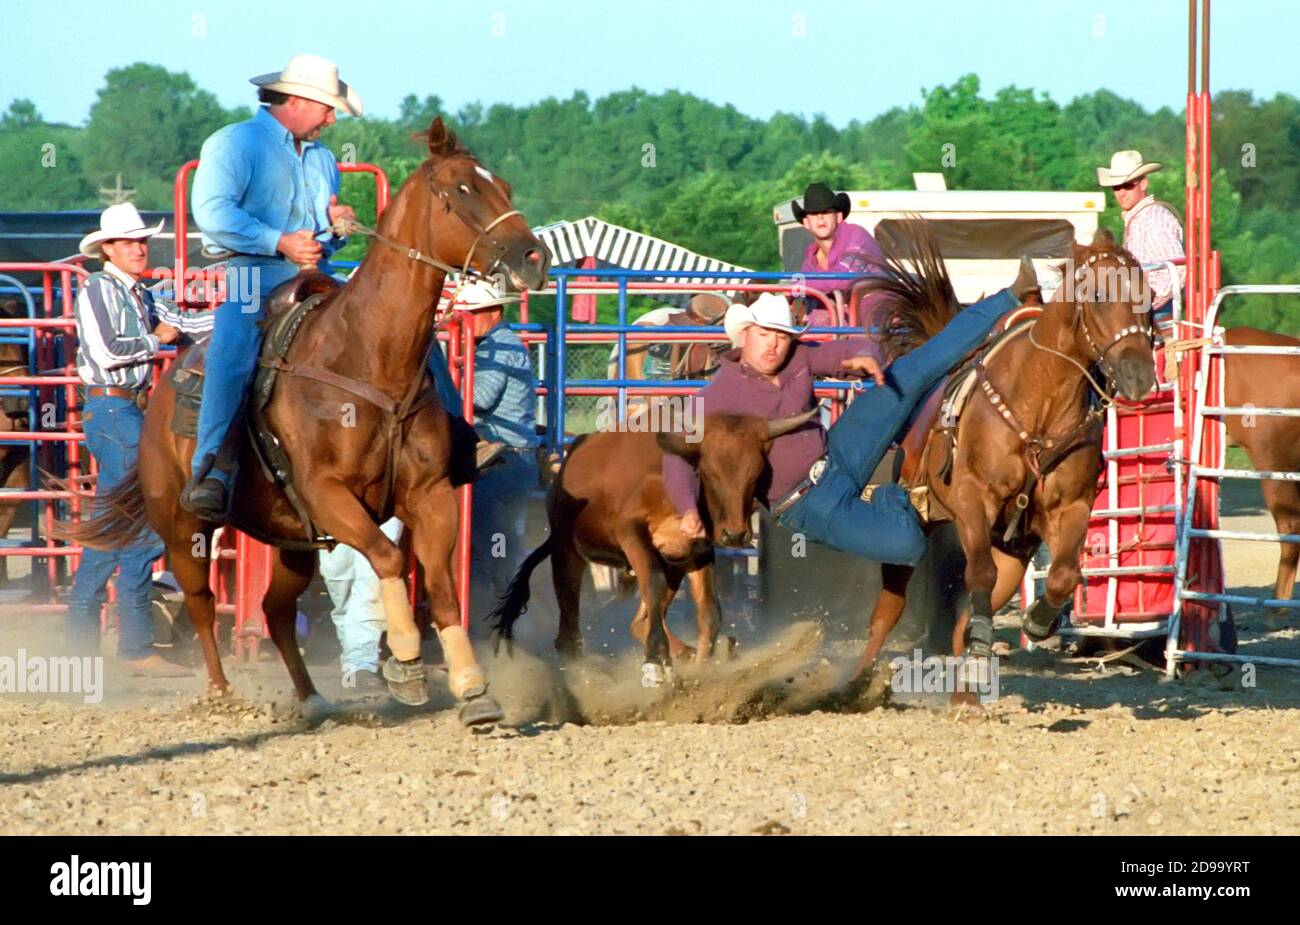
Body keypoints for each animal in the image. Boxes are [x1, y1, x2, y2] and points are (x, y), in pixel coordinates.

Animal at [59, 119, 548, 722]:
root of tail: (161, 399)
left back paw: (312, 697)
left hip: (290, 539)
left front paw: (473, 689)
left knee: (274, 609)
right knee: (201, 601)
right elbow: (388, 557)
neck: (368, 358)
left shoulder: (431, 495)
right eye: (462, 190)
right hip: (182, 524)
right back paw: (220, 693)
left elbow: (439, 585)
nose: (534, 257)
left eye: (501, 184)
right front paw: (407, 665)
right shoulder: (329, 494)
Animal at [852, 227, 1159, 696]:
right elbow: (978, 575)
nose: (1140, 375)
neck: (1040, 406)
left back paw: (967, 690)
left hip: (1013, 551)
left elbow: (1064, 575)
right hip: (915, 525)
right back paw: (858, 685)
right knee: (888, 611)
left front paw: (1036, 624)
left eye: (1151, 294)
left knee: (962, 624)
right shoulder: (973, 498)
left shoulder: (1072, 508)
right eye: (1099, 294)